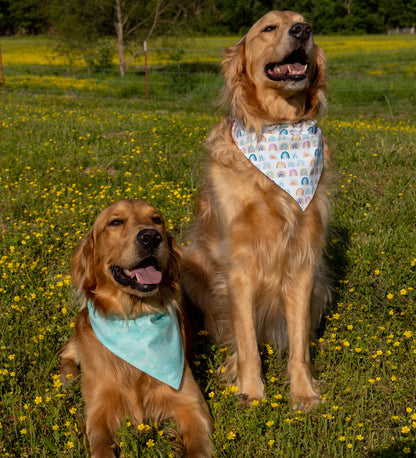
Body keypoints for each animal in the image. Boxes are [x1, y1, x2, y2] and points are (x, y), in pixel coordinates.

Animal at [59, 199, 211, 458]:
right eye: (115, 222)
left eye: (157, 220)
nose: (151, 237)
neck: (134, 317)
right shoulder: (99, 411)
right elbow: (101, 447)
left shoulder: (191, 403)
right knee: (67, 352)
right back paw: (67, 378)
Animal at [182, 10, 332, 410]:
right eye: (269, 28)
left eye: (305, 23)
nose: (302, 31)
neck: (278, 126)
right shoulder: (238, 265)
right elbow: (247, 340)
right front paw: (250, 391)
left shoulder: (303, 260)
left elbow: (299, 344)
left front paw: (303, 393)